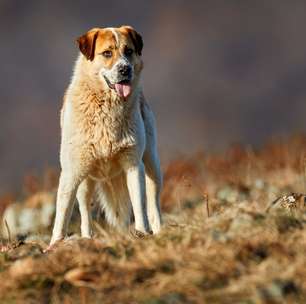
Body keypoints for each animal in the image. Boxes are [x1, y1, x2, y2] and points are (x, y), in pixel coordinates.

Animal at [50, 25, 163, 245]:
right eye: (107, 53)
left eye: (129, 51)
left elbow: (139, 205)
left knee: (154, 203)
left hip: (152, 164)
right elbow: (62, 213)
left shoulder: (133, 164)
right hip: (85, 182)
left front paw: (141, 233)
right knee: (85, 211)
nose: (125, 69)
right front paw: (54, 245)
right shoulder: (71, 172)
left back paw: (159, 231)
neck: (106, 108)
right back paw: (87, 237)